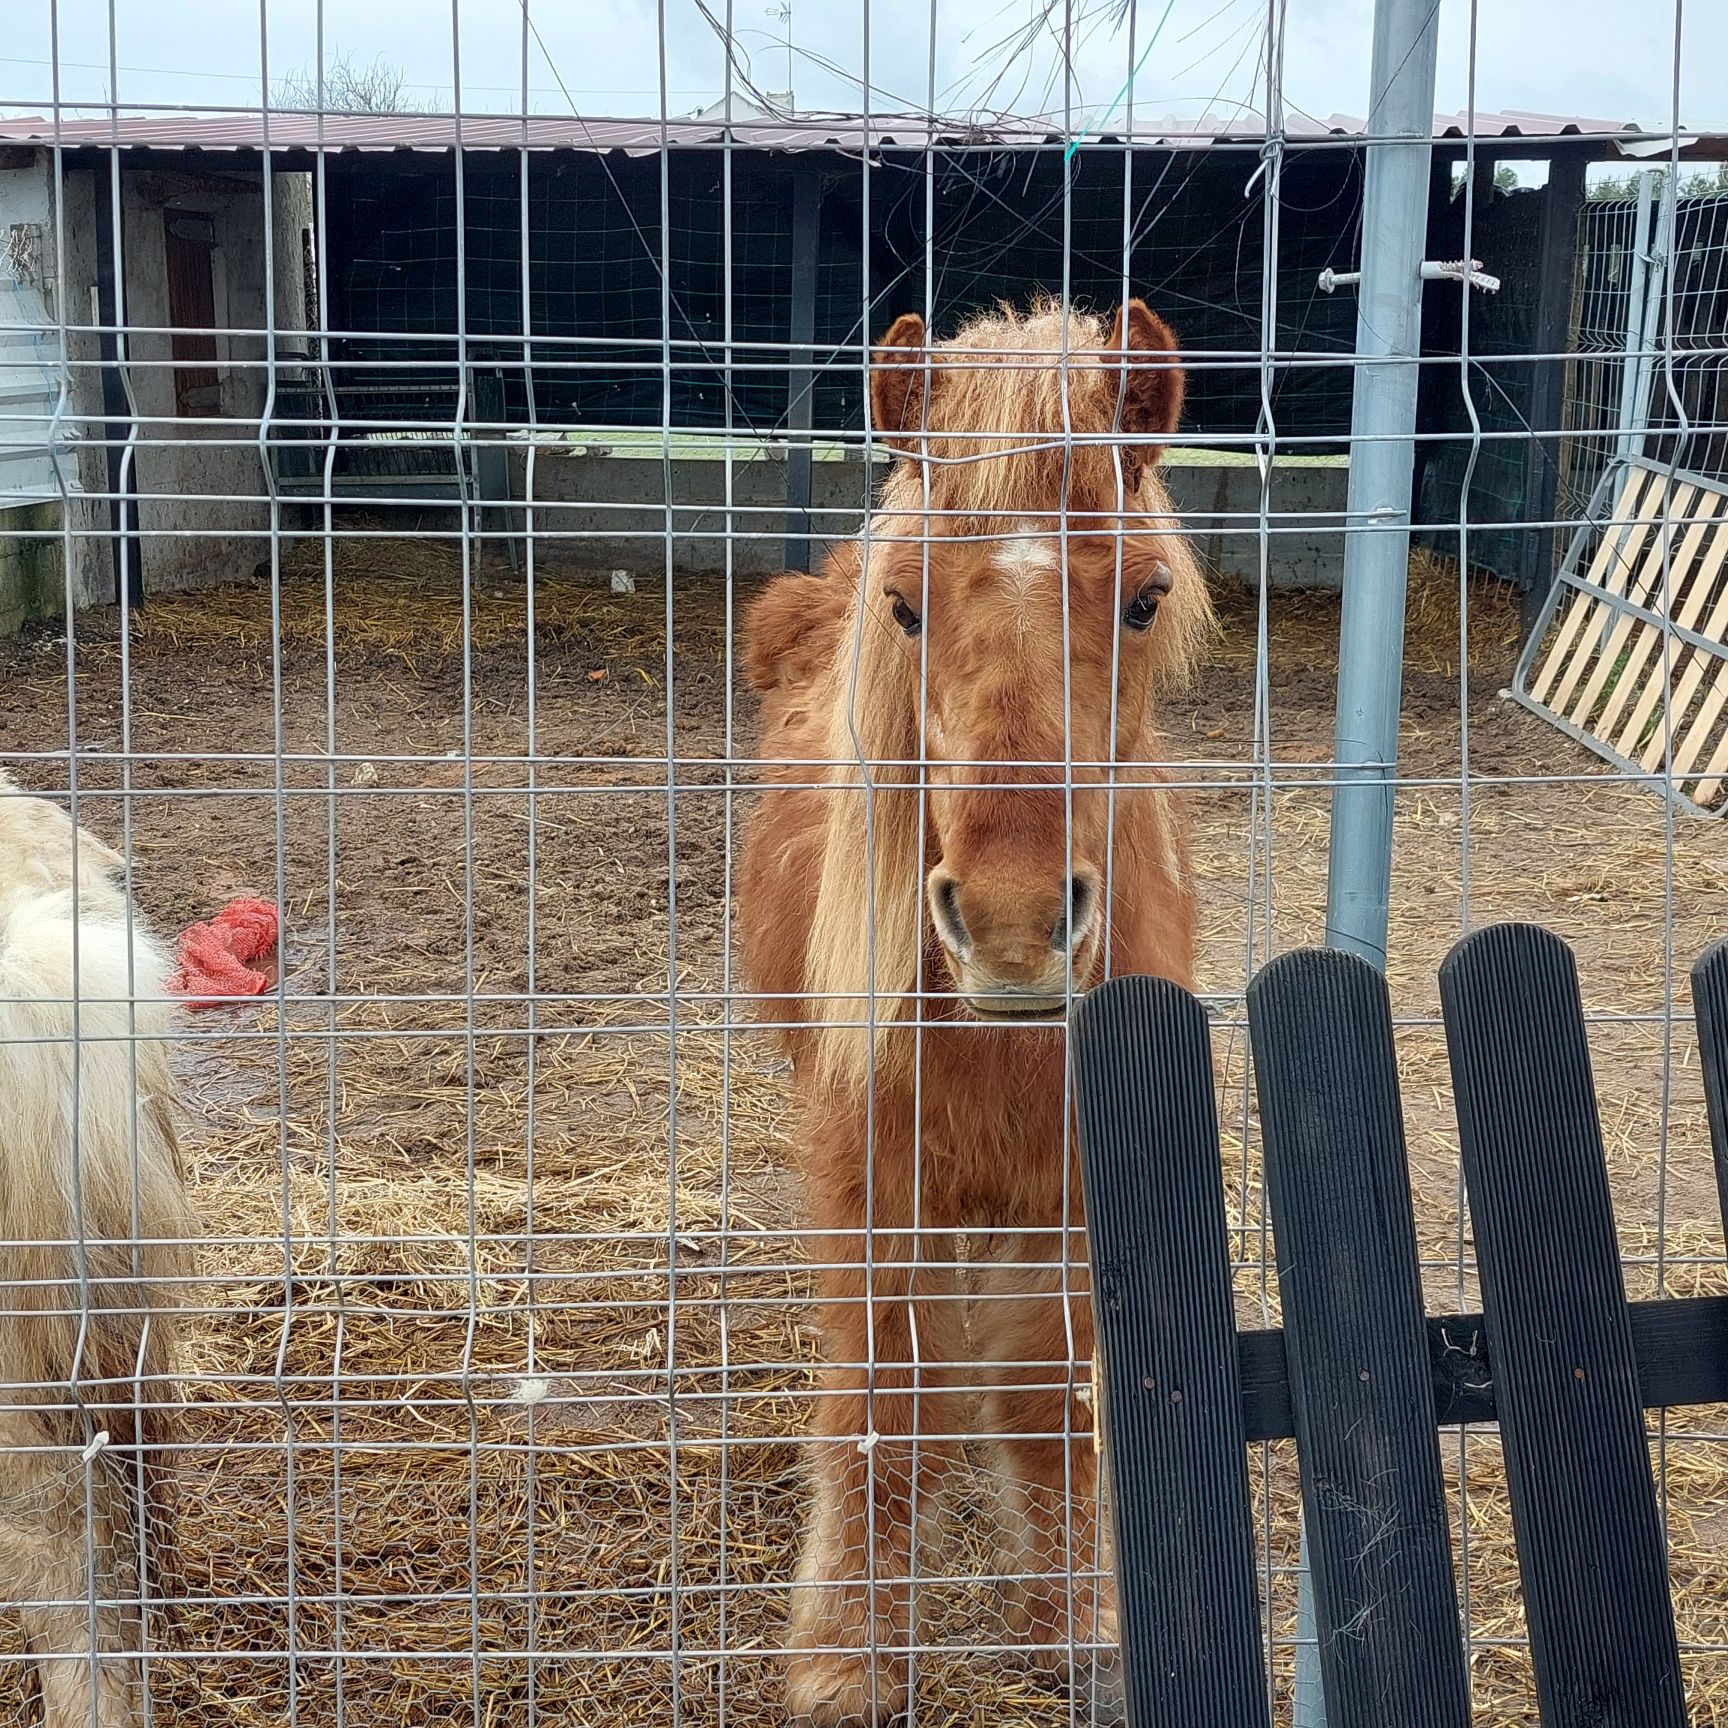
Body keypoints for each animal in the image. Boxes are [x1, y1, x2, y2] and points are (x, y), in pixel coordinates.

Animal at [736, 300, 1209, 1728]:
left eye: (1144, 598)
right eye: (905, 607)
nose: (1009, 923)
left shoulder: (1073, 1182)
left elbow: (1048, 1400)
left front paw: (1075, 1626)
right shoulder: (870, 1170)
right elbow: (884, 1405)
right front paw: (847, 1653)